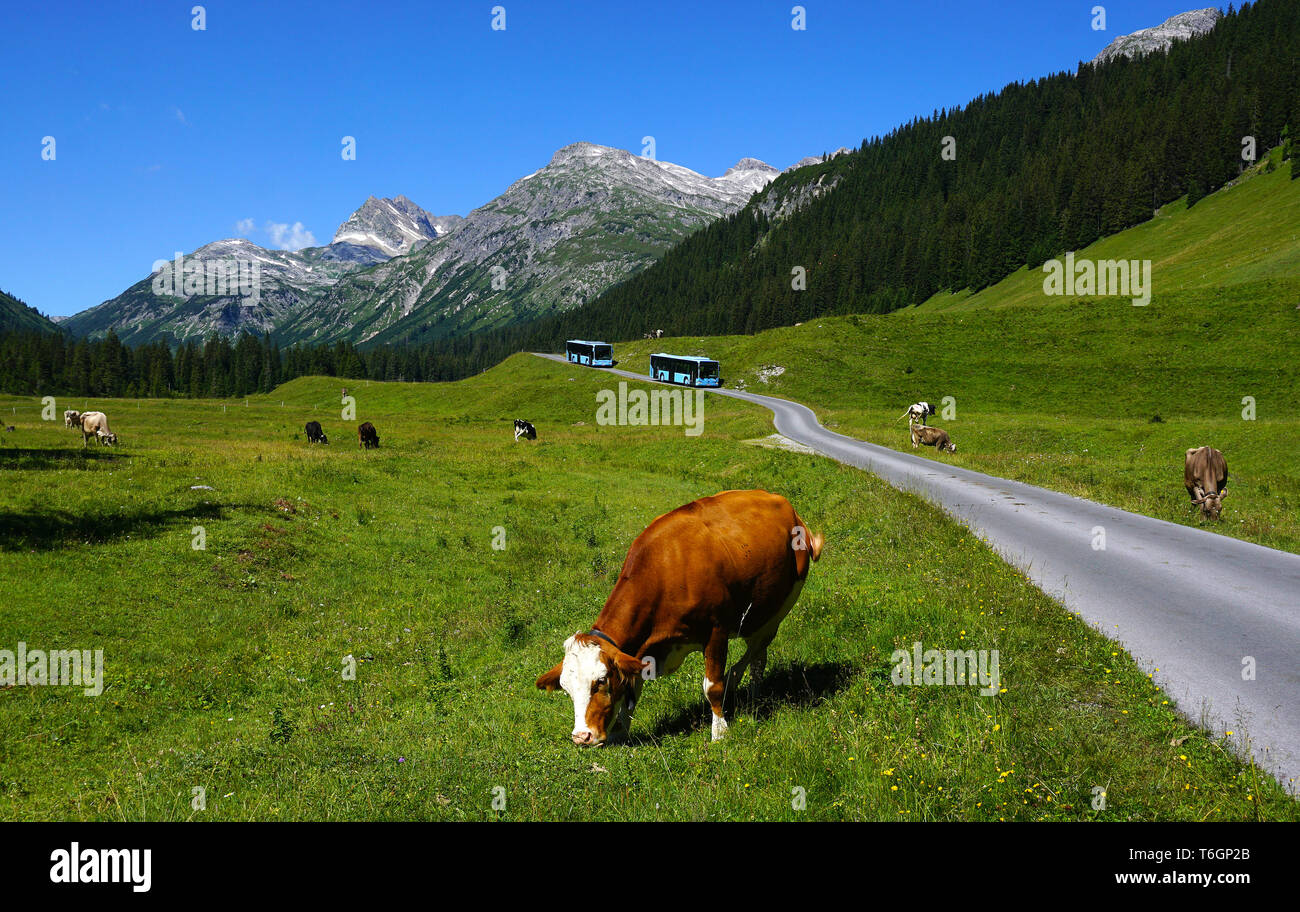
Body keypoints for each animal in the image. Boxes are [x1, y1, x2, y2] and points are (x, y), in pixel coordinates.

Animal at [535, 488, 821, 748]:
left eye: (601, 681)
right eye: (566, 688)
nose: (581, 737)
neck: (663, 570)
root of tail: (778, 499)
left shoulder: (716, 631)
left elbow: (713, 686)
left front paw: (720, 732)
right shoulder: (641, 651)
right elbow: (632, 687)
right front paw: (620, 731)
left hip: (780, 606)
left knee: (759, 648)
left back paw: (739, 682)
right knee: (758, 655)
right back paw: (753, 695)